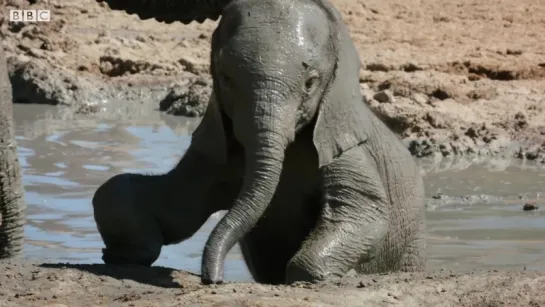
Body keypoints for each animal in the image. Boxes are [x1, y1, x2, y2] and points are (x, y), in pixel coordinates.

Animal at [92, 0, 424, 286]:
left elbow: (364, 212)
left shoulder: (348, 148)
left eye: (311, 83)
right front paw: (120, 255)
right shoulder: (216, 148)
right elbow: (169, 203)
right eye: (226, 79)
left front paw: (341, 276)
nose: (214, 279)